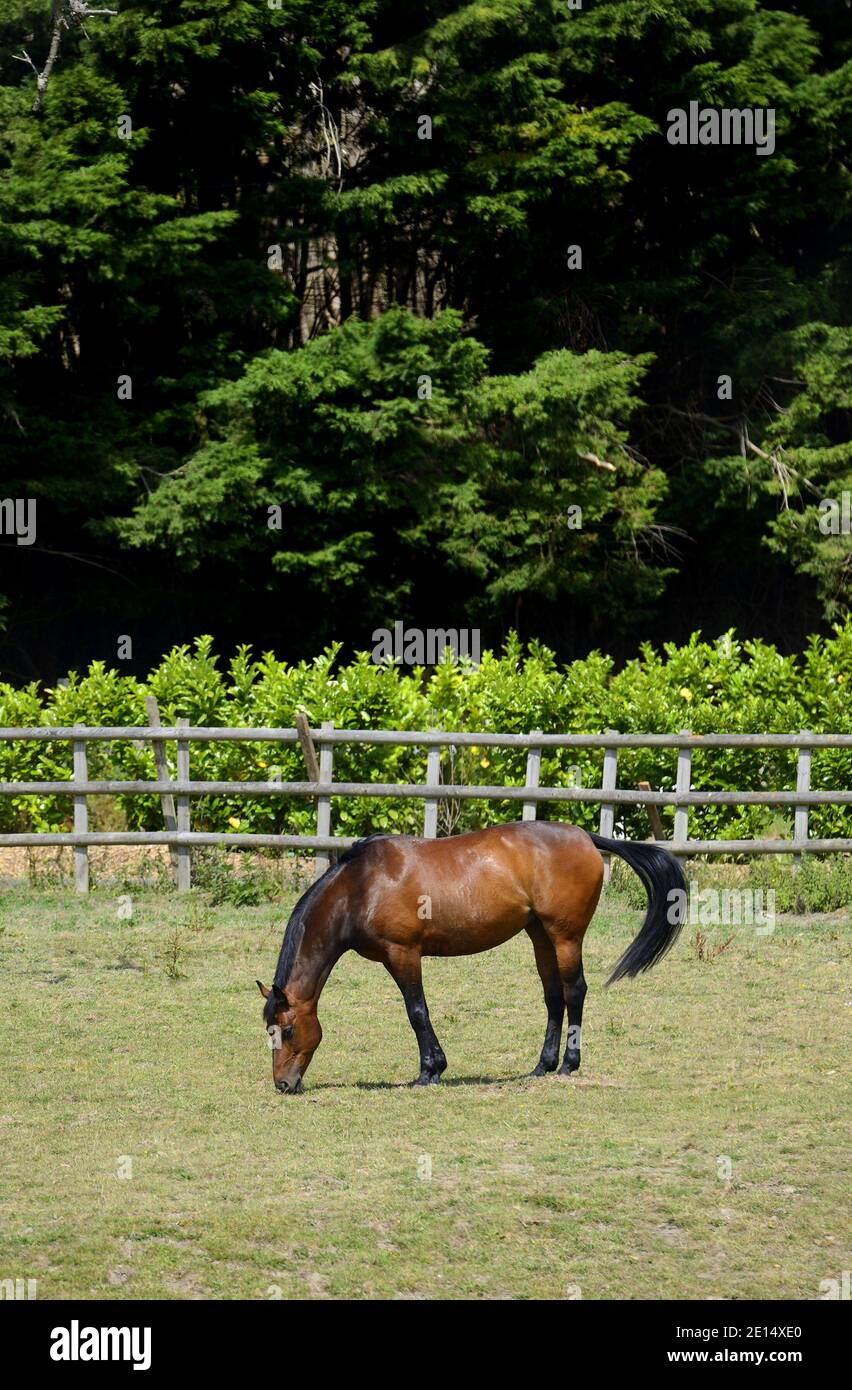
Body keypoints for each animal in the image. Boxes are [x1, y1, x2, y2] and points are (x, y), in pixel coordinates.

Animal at [252, 817, 683, 1089]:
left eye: (287, 1030)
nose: (283, 1084)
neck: (361, 886)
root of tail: (585, 838)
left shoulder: (403, 953)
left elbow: (416, 1011)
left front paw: (430, 1071)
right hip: (539, 936)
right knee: (553, 997)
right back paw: (541, 1066)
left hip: (565, 936)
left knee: (574, 991)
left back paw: (567, 1066)